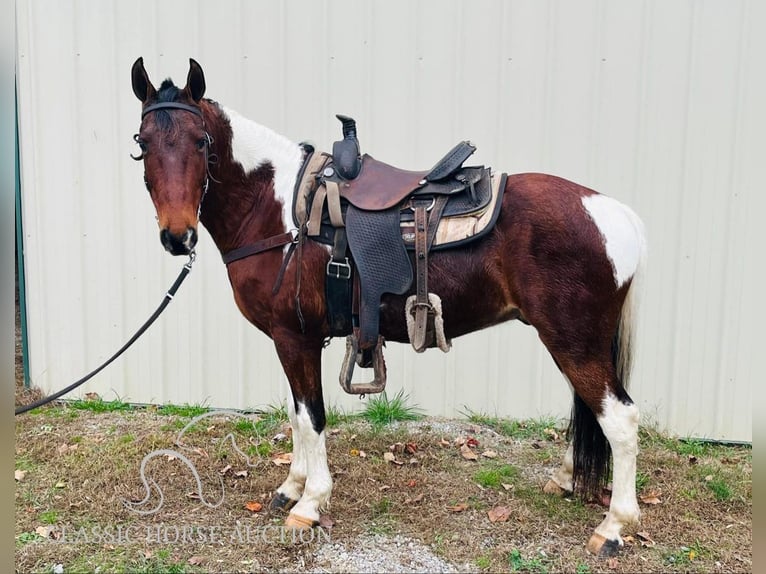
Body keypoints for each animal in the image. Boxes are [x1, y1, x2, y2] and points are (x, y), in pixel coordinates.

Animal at [130, 58, 648, 560]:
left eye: (201, 142)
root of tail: (619, 216)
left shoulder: (294, 337)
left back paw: (614, 528)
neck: (278, 211)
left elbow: (312, 417)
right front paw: (290, 487)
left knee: (620, 421)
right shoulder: (290, 340)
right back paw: (565, 481)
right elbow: (298, 416)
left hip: (575, 343)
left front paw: (309, 504)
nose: (177, 236)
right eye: (142, 143)